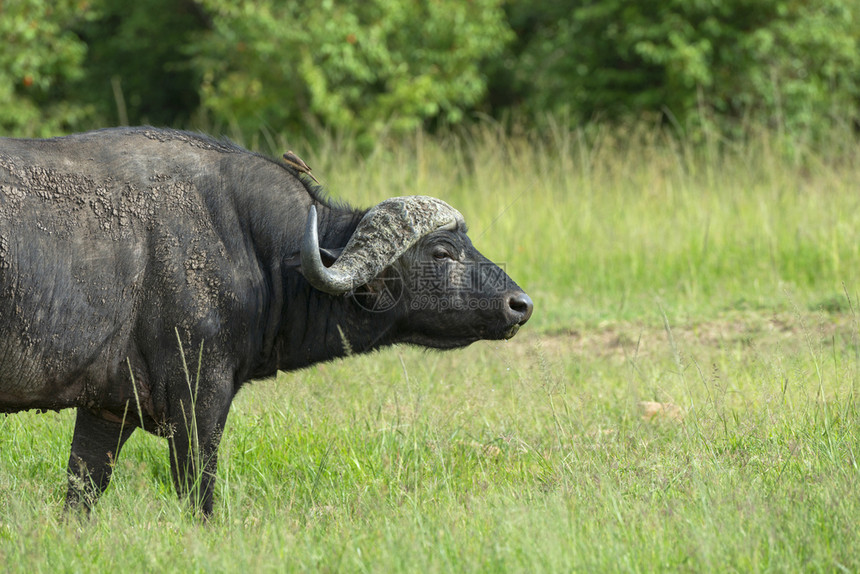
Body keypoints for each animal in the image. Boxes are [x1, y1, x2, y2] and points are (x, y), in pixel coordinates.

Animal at [0, 129, 532, 516]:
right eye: (441, 252)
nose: (520, 304)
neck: (253, 246)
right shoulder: (198, 401)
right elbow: (198, 497)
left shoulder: (107, 409)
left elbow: (81, 494)